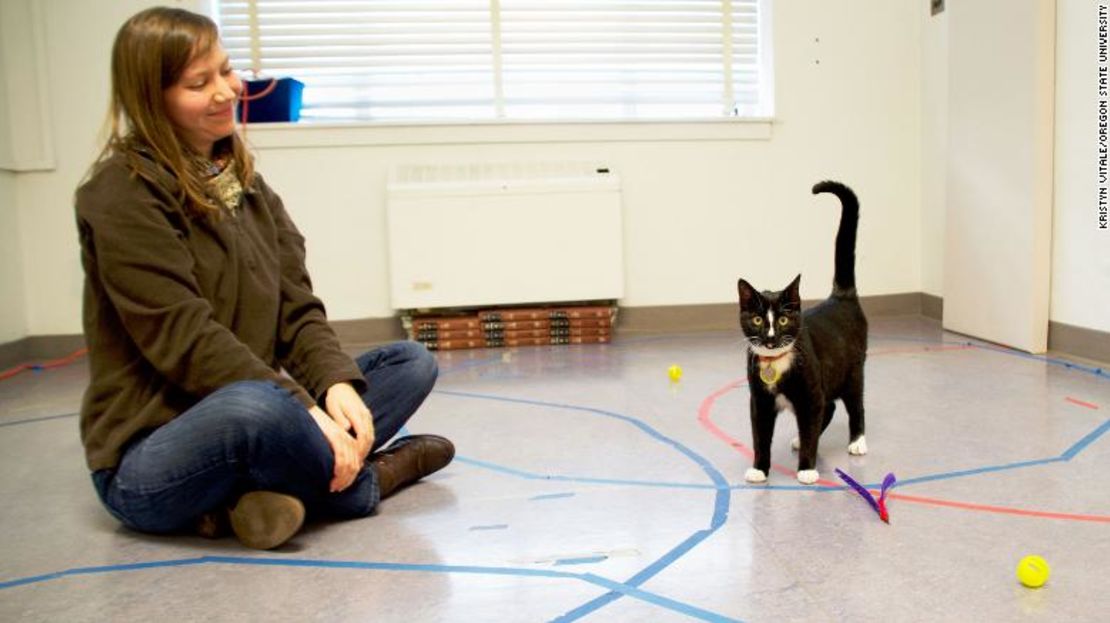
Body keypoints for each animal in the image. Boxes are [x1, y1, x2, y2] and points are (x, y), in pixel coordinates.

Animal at [737, 181, 865, 486]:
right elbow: (760, 437)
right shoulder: (759, 401)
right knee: (829, 408)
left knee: (854, 405)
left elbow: (811, 427)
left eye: (783, 320)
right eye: (757, 319)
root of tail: (841, 296)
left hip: (852, 371)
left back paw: (857, 441)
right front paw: (759, 468)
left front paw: (806, 468)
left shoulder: (810, 393)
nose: (771, 337)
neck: (776, 364)